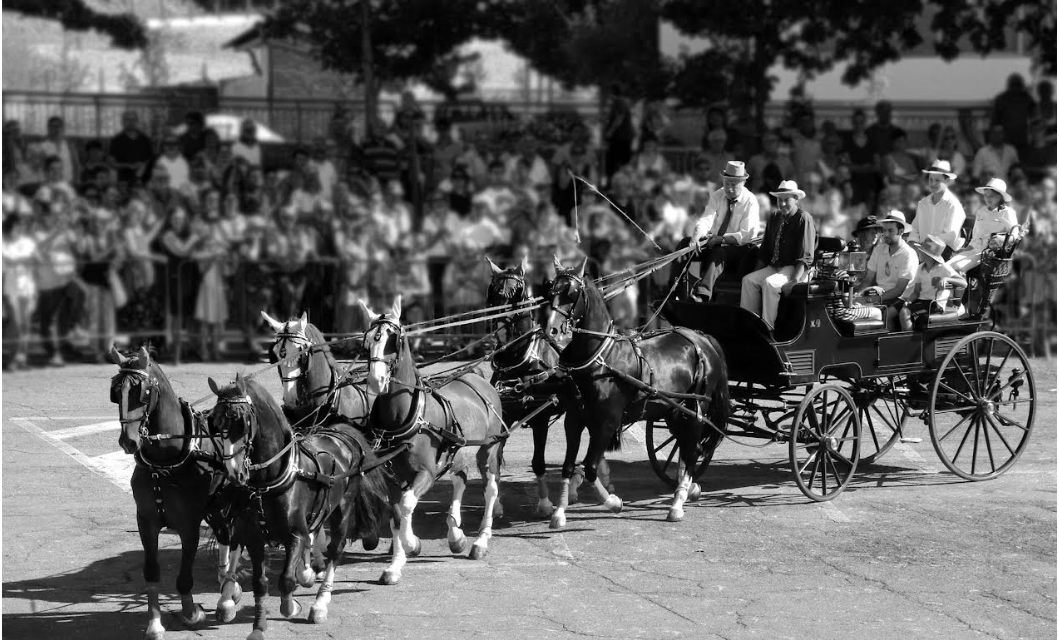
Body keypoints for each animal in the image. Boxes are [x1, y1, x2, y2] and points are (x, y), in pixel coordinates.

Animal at [107, 347, 238, 635]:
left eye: (142, 392)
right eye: (115, 391)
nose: (128, 441)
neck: (165, 462)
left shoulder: (189, 524)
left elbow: (184, 576)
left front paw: (191, 612)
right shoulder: (147, 521)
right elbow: (151, 572)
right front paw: (155, 623)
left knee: (233, 538)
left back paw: (228, 593)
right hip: (216, 507)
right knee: (225, 536)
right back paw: (226, 584)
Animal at [206, 372, 389, 635]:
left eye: (241, 422)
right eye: (215, 424)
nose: (233, 473)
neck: (270, 481)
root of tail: (341, 434)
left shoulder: (295, 534)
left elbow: (286, 579)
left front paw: (291, 606)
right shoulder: (254, 536)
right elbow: (260, 582)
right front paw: (259, 623)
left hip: (342, 509)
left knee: (336, 549)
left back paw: (320, 602)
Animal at [362, 294, 506, 584]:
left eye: (394, 339)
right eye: (367, 340)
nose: (376, 379)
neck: (406, 417)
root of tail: (476, 377)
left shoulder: (426, 472)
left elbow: (407, 505)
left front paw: (411, 543)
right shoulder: (392, 477)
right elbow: (396, 515)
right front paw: (395, 565)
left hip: (489, 448)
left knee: (490, 489)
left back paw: (481, 541)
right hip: (458, 450)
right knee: (460, 479)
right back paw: (455, 535)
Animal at [482, 257, 609, 527]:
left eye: (517, 294)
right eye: (493, 293)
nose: (500, 331)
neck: (520, 360)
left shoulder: (540, 419)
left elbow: (538, 462)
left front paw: (545, 504)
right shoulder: (504, 417)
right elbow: (495, 462)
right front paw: (496, 505)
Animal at [546, 257, 728, 523]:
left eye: (571, 293)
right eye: (551, 291)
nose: (552, 331)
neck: (601, 358)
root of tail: (701, 337)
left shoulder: (607, 421)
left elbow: (590, 467)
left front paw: (613, 502)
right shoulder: (575, 419)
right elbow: (570, 465)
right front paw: (559, 511)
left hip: (697, 407)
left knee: (692, 449)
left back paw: (678, 501)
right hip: (674, 411)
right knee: (686, 448)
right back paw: (687, 489)